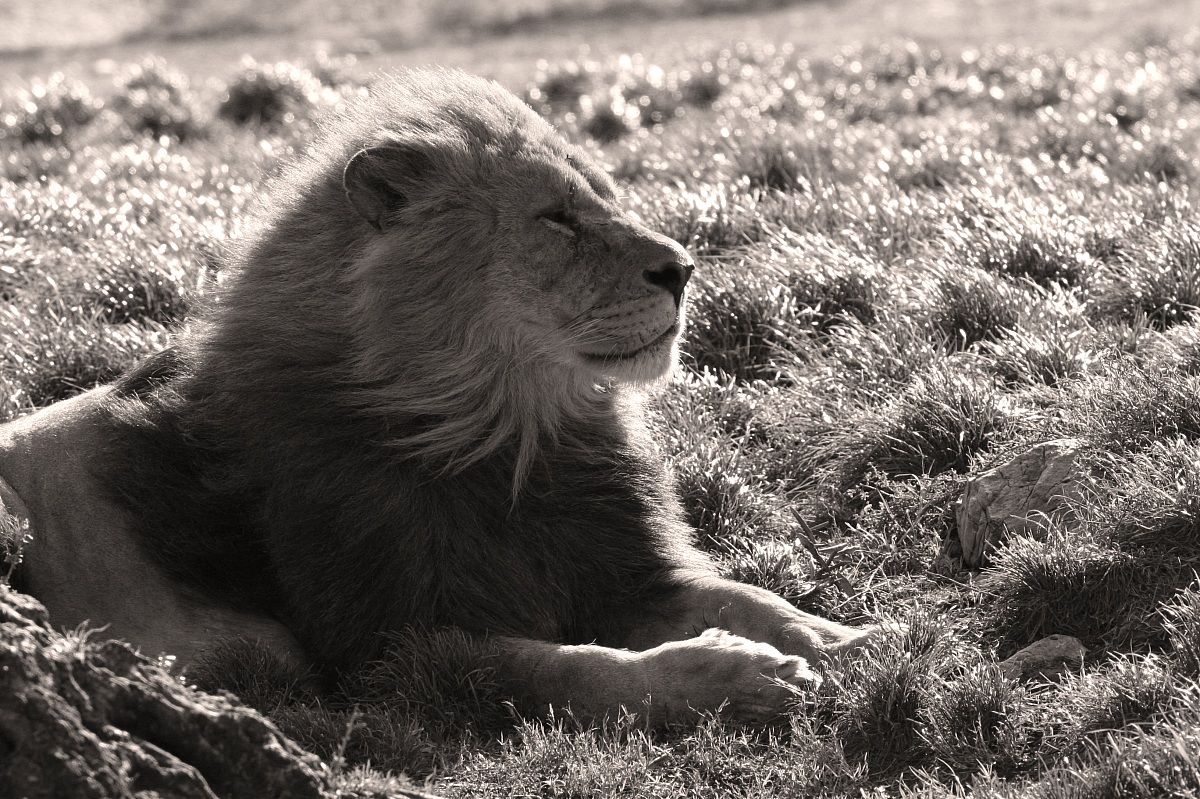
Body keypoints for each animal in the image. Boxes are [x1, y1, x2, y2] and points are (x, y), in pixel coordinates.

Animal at [0, 68, 885, 726]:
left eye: (608, 196)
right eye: (557, 219)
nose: (683, 269)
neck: (505, 431)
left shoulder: (623, 570)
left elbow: (749, 594)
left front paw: (845, 639)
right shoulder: (394, 649)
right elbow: (576, 671)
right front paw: (740, 676)